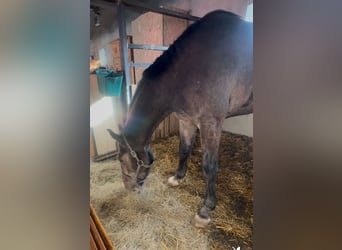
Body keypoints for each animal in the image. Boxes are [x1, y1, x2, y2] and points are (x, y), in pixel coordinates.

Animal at [108, 10, 252, 229]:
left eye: (121, 159)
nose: (129, 188)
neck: (186, 72)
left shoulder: (210, 123)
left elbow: (209, 167)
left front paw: (205, 210)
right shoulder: (186, 121)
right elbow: (184, 150)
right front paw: (177, 178)